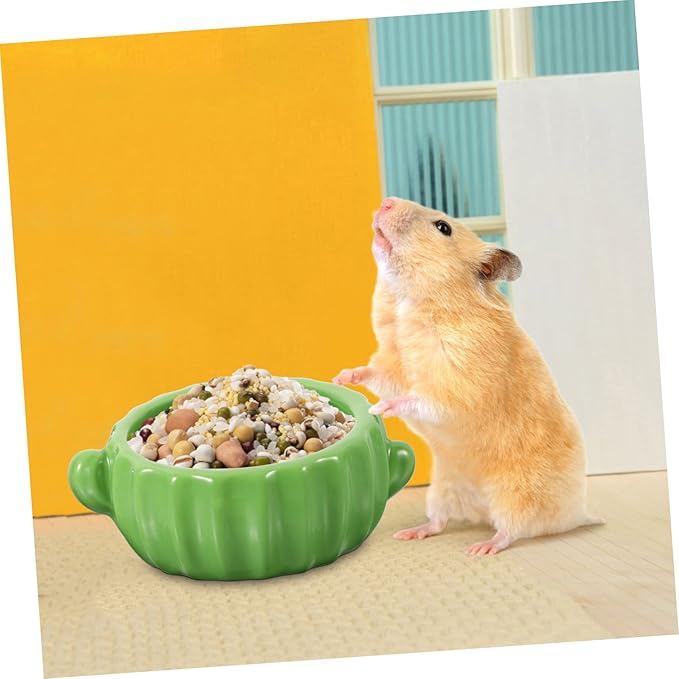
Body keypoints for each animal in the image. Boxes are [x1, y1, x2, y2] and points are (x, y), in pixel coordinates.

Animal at [333, 197, 603, 555]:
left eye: (443, 227)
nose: (386, 202)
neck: (411, 302)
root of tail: (576, 513)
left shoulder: (460, 385)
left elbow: (421, 399)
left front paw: (381, 409)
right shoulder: (393, 363)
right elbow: (376, 373)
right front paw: (342, 377)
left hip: (516, 494)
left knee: (512, 530)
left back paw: (481, 548)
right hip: (443, 486)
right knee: (440, 521)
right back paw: (411, 533)